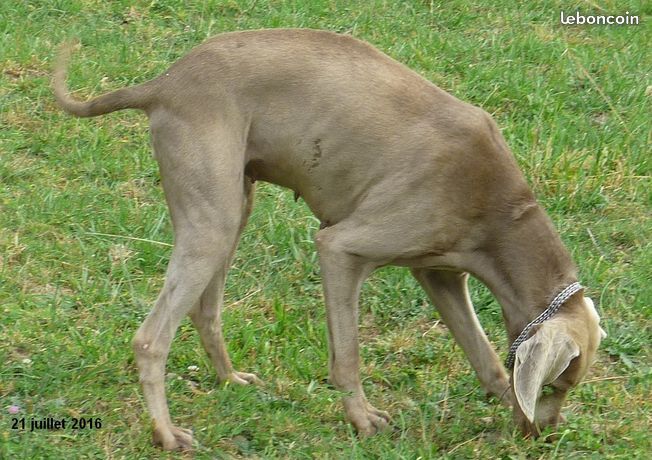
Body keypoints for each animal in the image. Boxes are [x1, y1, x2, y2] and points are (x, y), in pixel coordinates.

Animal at [54, 28, 608, 450]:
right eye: (555, 385)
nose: (544, 436)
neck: (501, 212)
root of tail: (165, 83)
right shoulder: (340, 249)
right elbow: (348, 355)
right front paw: (362, 419)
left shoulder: (439, 273)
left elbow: (487, 358)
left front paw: (503, 399)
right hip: (212, 222)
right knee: (151, 339)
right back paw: (167, 434)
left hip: (234, 208)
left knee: (205, 310)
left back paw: (230, 379)